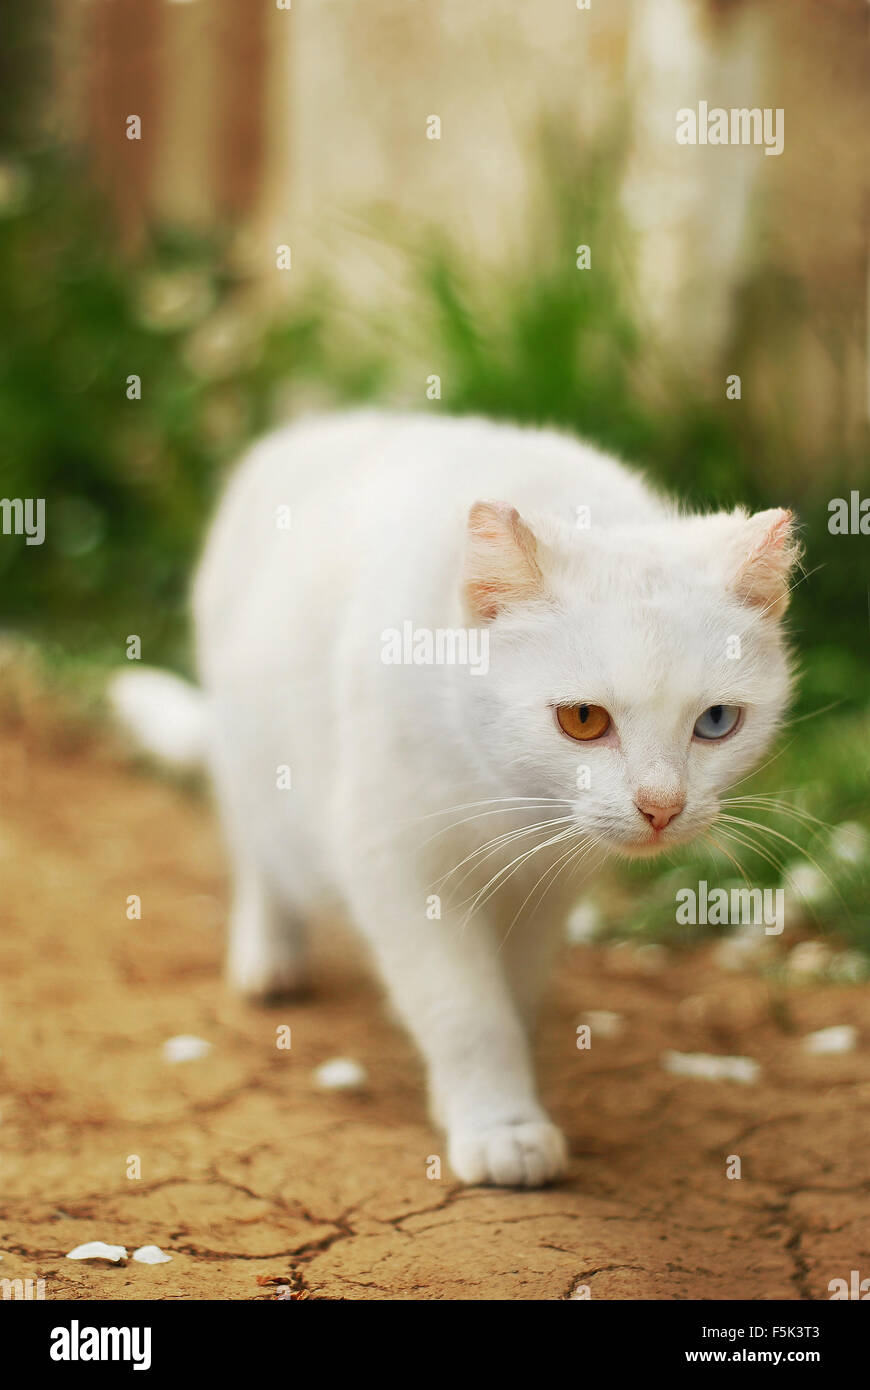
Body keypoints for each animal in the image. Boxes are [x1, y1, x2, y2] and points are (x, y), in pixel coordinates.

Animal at [111, 408, 794, 1184]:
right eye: (582, 719)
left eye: (716, 722)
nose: (661, 807)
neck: (505, 795)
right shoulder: (395, 859)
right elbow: (465, 1010)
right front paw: (500, 1124)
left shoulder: (546, 884)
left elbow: (511, 993)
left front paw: (482, 1089)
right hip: (256, 765)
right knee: (261, 853)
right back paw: (271, 955)